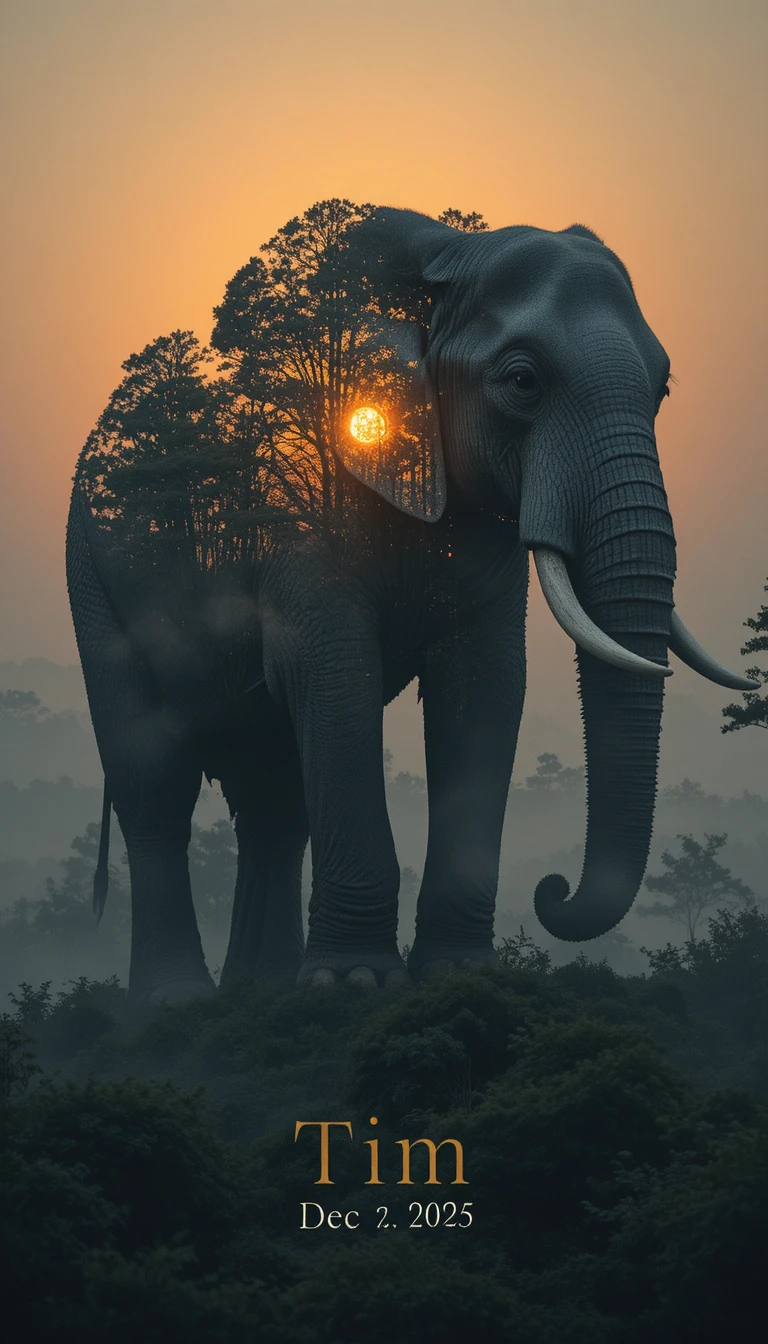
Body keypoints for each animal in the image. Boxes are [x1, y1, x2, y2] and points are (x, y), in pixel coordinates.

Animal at [66, 205, 755, 1003]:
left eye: (663, 387)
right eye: (522, 381)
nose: (553, 891)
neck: (438, 260)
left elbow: (486, 685)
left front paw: (460, 975)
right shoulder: (296, 506)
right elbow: (335, 676)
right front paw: (355, 985)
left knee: (273, 802)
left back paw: (261, 991)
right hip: (94, 582)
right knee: (154, 784)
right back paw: (177, 1004)